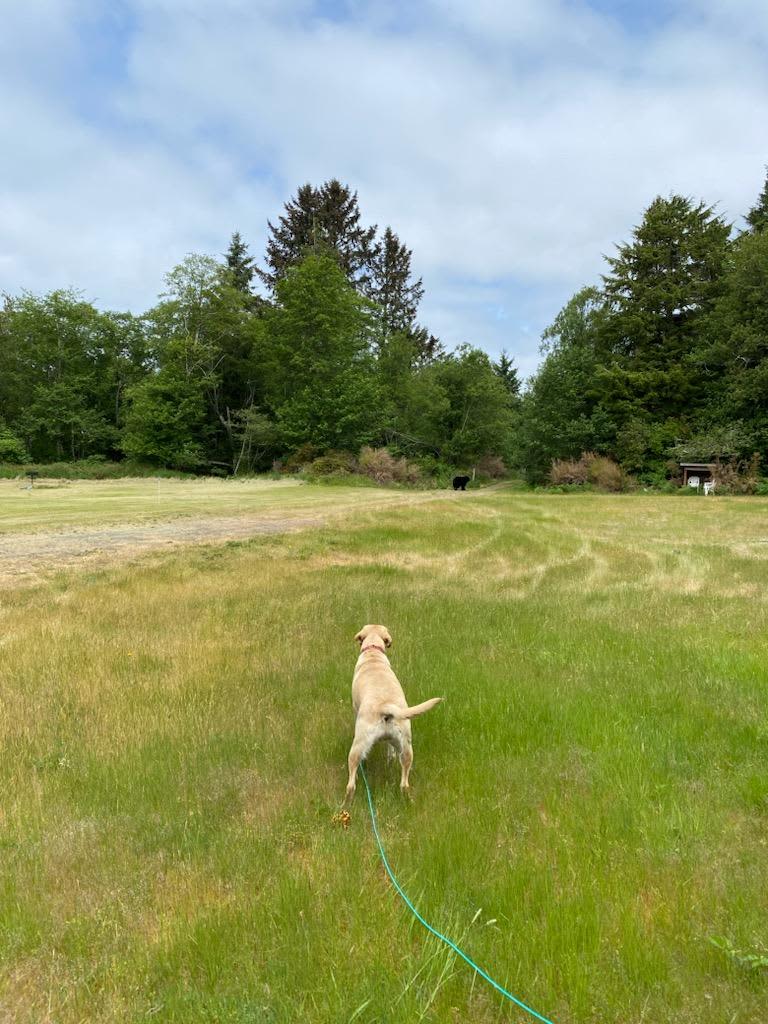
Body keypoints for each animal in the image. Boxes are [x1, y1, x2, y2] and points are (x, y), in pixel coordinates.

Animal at [344, 618, 442, 802]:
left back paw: (347, 801)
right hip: (406, 747)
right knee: (404, 782)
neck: (373, 653)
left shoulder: (354, 708)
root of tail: (385, 706)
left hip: (358, 746)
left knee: (351, 782)